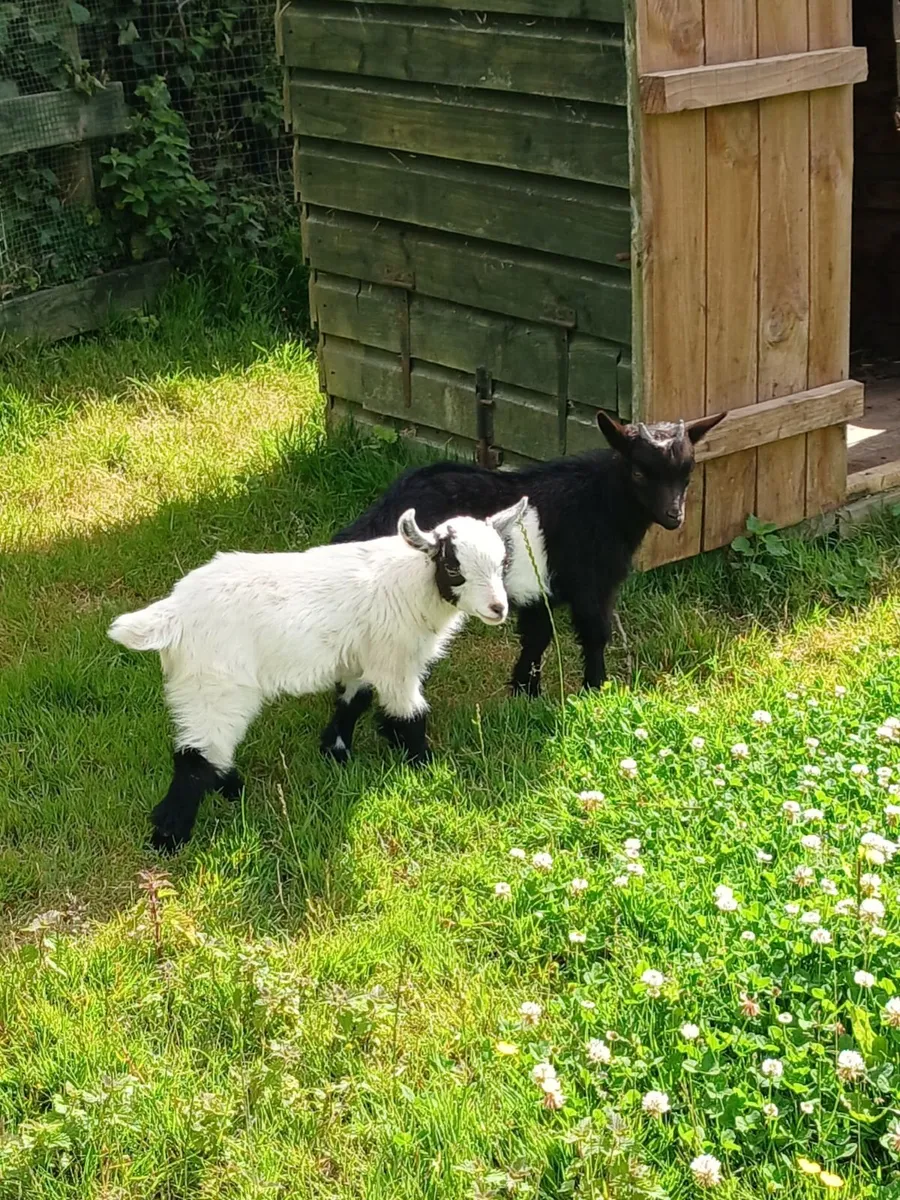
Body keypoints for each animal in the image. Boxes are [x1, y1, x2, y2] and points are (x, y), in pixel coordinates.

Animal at [109, 499, 527, 852]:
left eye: (504, 563)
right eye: (453, 567)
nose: (498, 608)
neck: (413, 583)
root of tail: (172, 614)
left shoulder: (361, 656)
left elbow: (353, 700)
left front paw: (337, 750)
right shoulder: (395, 661)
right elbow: (409, 713)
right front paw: (423, 763)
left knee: (209, 748)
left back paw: (231, 791)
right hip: (216, 684)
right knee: (194, 756)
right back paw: (169, 838)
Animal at [331, 411, 725, 709]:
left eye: (687, 472)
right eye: (639, 472)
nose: (674, 517)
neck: (598, 502)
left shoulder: (540, 591)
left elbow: (537, 638)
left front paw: (526, 693)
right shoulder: (592, 584)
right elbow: (595, 633)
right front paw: (596, 689)